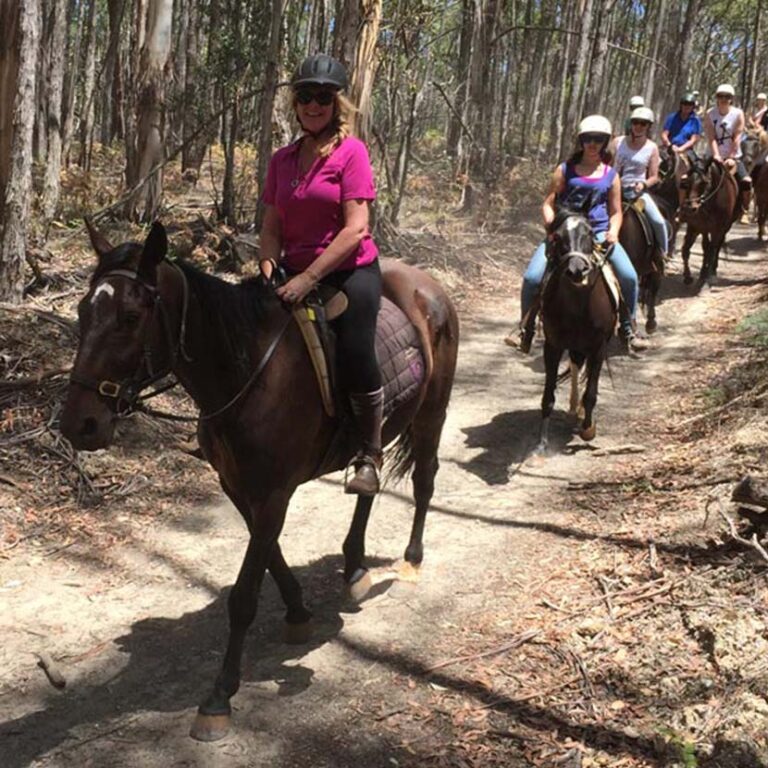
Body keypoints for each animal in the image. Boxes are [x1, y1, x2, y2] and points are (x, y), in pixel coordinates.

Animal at [60, 222, 460, 744]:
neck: (247, 370)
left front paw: (218, 697)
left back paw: (411, 559)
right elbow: (268, 555)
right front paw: (298, 612)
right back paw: (354, 567)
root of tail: (428, 285)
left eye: (130, 316)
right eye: (83, 310)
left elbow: (244, 594)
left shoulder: (273, 494)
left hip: (432, 413)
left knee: (425, 480)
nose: (78, 425)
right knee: (367, 486)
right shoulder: (239, 487)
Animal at [536, 207, 616, 452]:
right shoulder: (553, 346)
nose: (576, 270)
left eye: (589, 232)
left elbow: (591, 392)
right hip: (575, 346)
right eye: (557, 236)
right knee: (575, 366)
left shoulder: (599, 347)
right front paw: (542, 442)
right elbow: (548, 395)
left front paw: (588, 429)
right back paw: (573, 409)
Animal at [680, 158, 740, 290]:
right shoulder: (700, 227)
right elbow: (701, 248)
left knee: (717, 247)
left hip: (724, 228)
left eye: (704, 182)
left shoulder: (717, 229)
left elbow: (712, 249)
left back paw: (712, 271)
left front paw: (708, 279)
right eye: (687, 182)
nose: (690, 208)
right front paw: (692, 276)